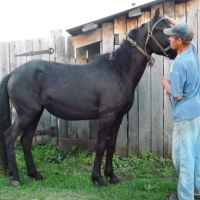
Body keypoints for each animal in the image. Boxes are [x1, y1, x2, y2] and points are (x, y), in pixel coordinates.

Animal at [0, 9, 175, 188]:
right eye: (163, 29)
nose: (175, 51)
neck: (118, 71)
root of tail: (13, 73)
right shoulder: (106, 117)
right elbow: (100, 146)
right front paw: (98, 178)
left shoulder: (118, 118)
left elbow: (111, 146)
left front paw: (112, 176)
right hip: (27, 113)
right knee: (9, 137)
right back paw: (15, 177)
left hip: (35, 113)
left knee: (26, 140)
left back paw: (34, 174)